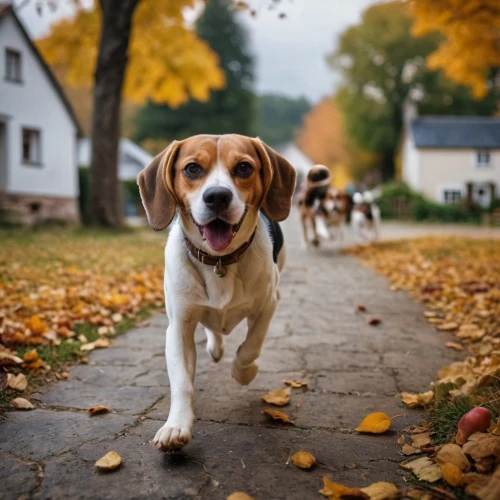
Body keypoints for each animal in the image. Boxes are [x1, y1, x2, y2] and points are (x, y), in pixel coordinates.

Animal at [137, 135, 294, 452]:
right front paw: (176, 426)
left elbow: (251, 346)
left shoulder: (268, 305)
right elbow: (181, 381)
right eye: (193, 168)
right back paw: (215, 345)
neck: (219, 260)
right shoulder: (179, 327)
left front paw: (243, 372)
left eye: (244, 167)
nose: (218, 196)